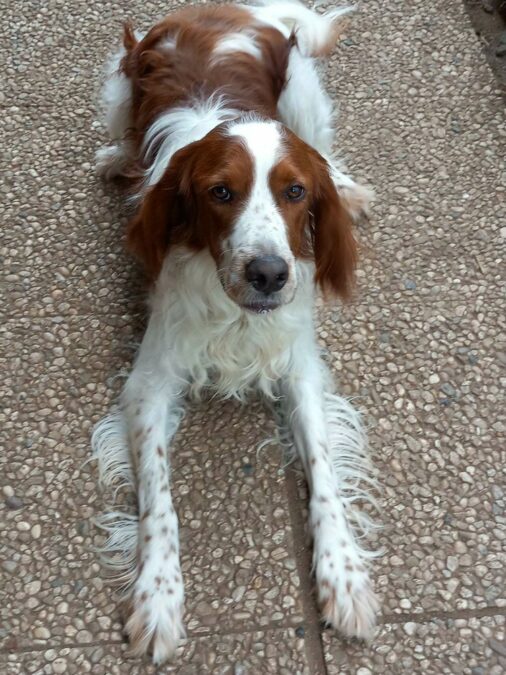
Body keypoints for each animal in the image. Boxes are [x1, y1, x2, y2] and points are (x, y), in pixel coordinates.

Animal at [93, 0, 380, 664]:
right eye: (219, 192)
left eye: (295, 192)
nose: (270, 274)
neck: (238, 314)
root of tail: (227, 9)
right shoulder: (149, 383)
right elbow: (159, 499)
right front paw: (158, 597)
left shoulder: (300, 369)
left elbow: (324, 471)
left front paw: (344, 578)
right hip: (122, 79)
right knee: (119, 126)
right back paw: (117, 159)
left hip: (303, 94)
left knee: (325, 144)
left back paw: (348, 185)